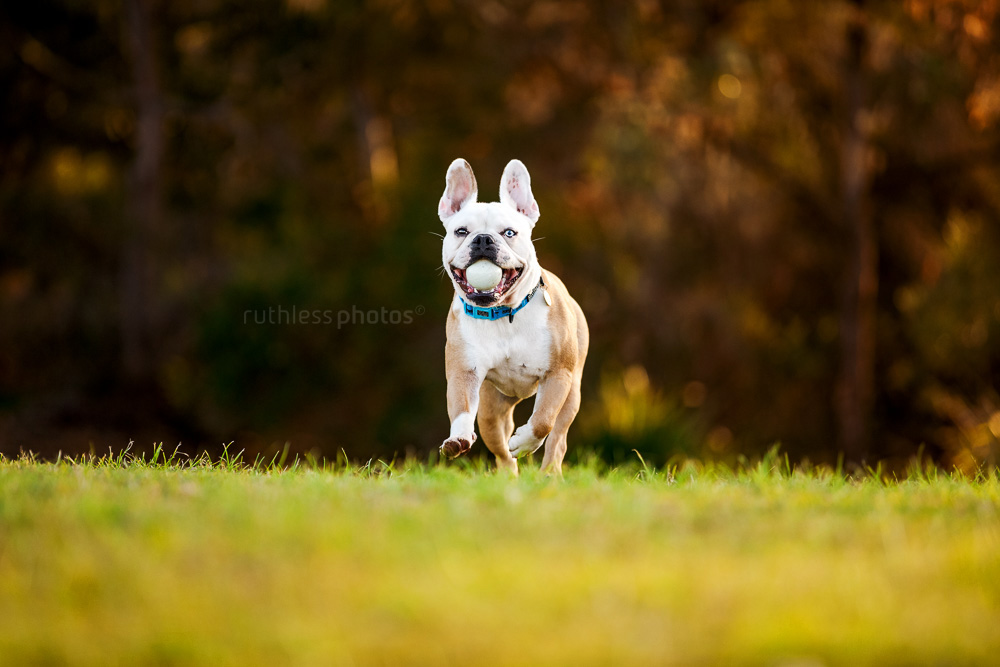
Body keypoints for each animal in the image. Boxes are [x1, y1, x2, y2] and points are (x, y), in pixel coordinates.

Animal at [436, 158, 584, 474]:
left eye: (509, 233)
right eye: (461, 231)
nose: (483, 239)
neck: (503, 313)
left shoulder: (558, 375)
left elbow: (543, 421)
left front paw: (526, 443)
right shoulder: (463, 372)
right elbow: (461, 409)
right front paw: (457, 439)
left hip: (571, 395)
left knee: (557, 437)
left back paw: (549, 474)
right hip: (492, 410)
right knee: (501, 449)